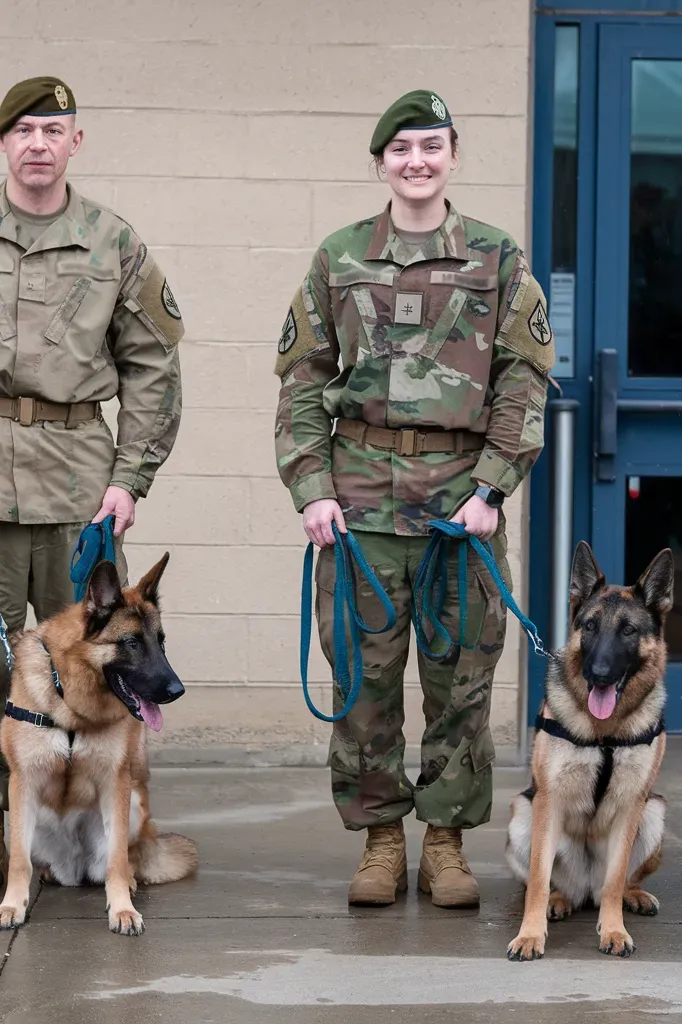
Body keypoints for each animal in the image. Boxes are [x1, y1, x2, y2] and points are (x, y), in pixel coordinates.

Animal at [0, 557, 196, 937]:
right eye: (132, 643)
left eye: (160, 642)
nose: (177, 691)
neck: (69, 703)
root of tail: (72, 868)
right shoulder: (22, 781)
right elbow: (18, 860)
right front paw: (12, 906)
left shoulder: (115, 783)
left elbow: (116, 860)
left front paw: (122, 910)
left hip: (133, 804)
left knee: (122, 860)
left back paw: (129, 883)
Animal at [501, 544, 671, 958]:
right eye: (590, 627)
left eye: (628, 630)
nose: (599, 674)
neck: (605, 734)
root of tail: (584, 890)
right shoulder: (548, 800)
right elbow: (539, 878)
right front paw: (530, 935)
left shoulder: (632, 804)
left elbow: (615, 879)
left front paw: (614, 930)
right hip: (523, 815)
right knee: (548, 882)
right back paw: (558, 900)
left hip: (654, 811)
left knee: (615, 883)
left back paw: (632, 895)